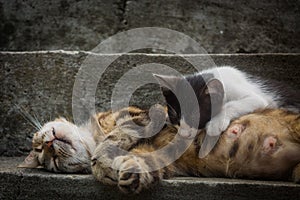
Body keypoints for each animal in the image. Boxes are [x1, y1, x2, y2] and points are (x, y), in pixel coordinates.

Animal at [19, 106, 300, 194]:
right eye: (53, 163)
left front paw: (102, 160)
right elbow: (143, 162)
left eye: (40, 145)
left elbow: (110, 140)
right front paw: (127, 175)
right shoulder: (159, 156)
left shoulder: (141, 115)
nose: (48, 145)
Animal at [155, 66, 300, 157]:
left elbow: (234, 104)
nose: (184, 135)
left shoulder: (257, 98)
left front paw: (215, 124)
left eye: (196, 117)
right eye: (175, 116)